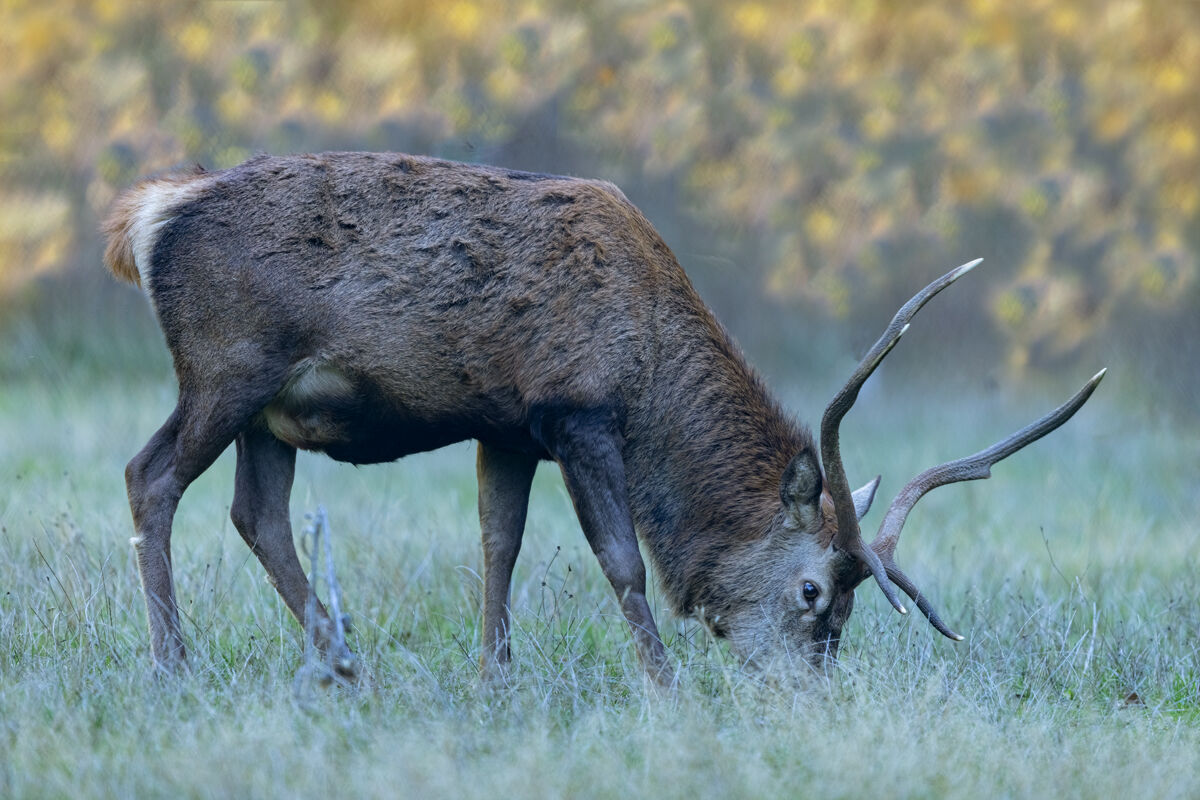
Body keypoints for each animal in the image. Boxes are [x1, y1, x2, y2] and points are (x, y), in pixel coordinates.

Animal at [102, 152, 1104, 687]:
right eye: (814, 593)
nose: (807, 692)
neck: (649, 357)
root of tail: (147, 217)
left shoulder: (504, 425)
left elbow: (497, 544)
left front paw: (495, 679)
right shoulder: (575, 409)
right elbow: (623, 562)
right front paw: (665, 687)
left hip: (270, 411)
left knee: (257, 514)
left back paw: (346, 663)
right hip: (227, 367)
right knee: (150, 476)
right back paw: (174, 665)